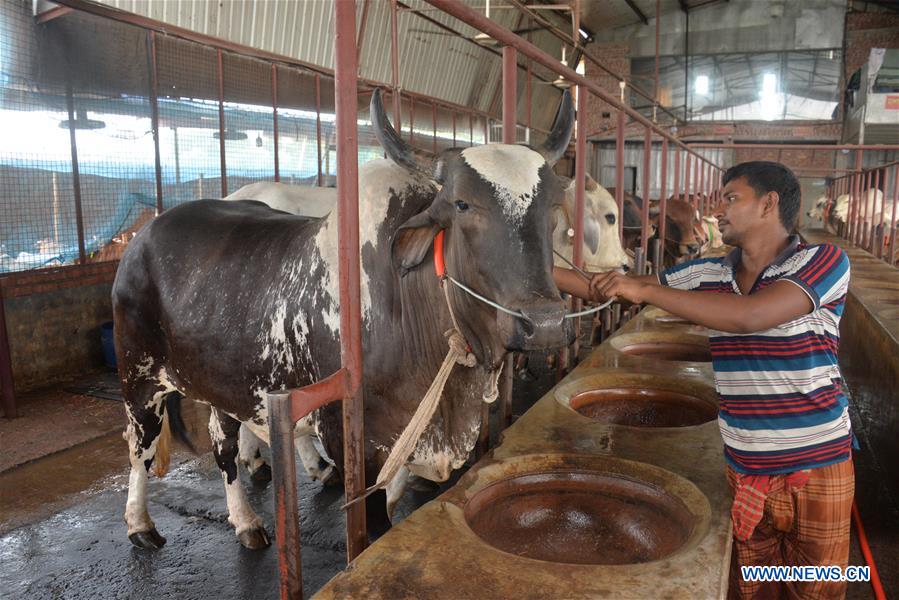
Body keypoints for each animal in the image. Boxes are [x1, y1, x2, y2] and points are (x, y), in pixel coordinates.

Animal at [114, 86, 576, 552]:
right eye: (462, 204)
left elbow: (394, 497)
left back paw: (245, 520)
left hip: (222, 382)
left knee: (222, 444)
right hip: (139, 378)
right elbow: (374, 526)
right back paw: (139, 523)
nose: (544, 322)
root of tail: (144, 234)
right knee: (139, 449)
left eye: (554, 206)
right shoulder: (351, 440)